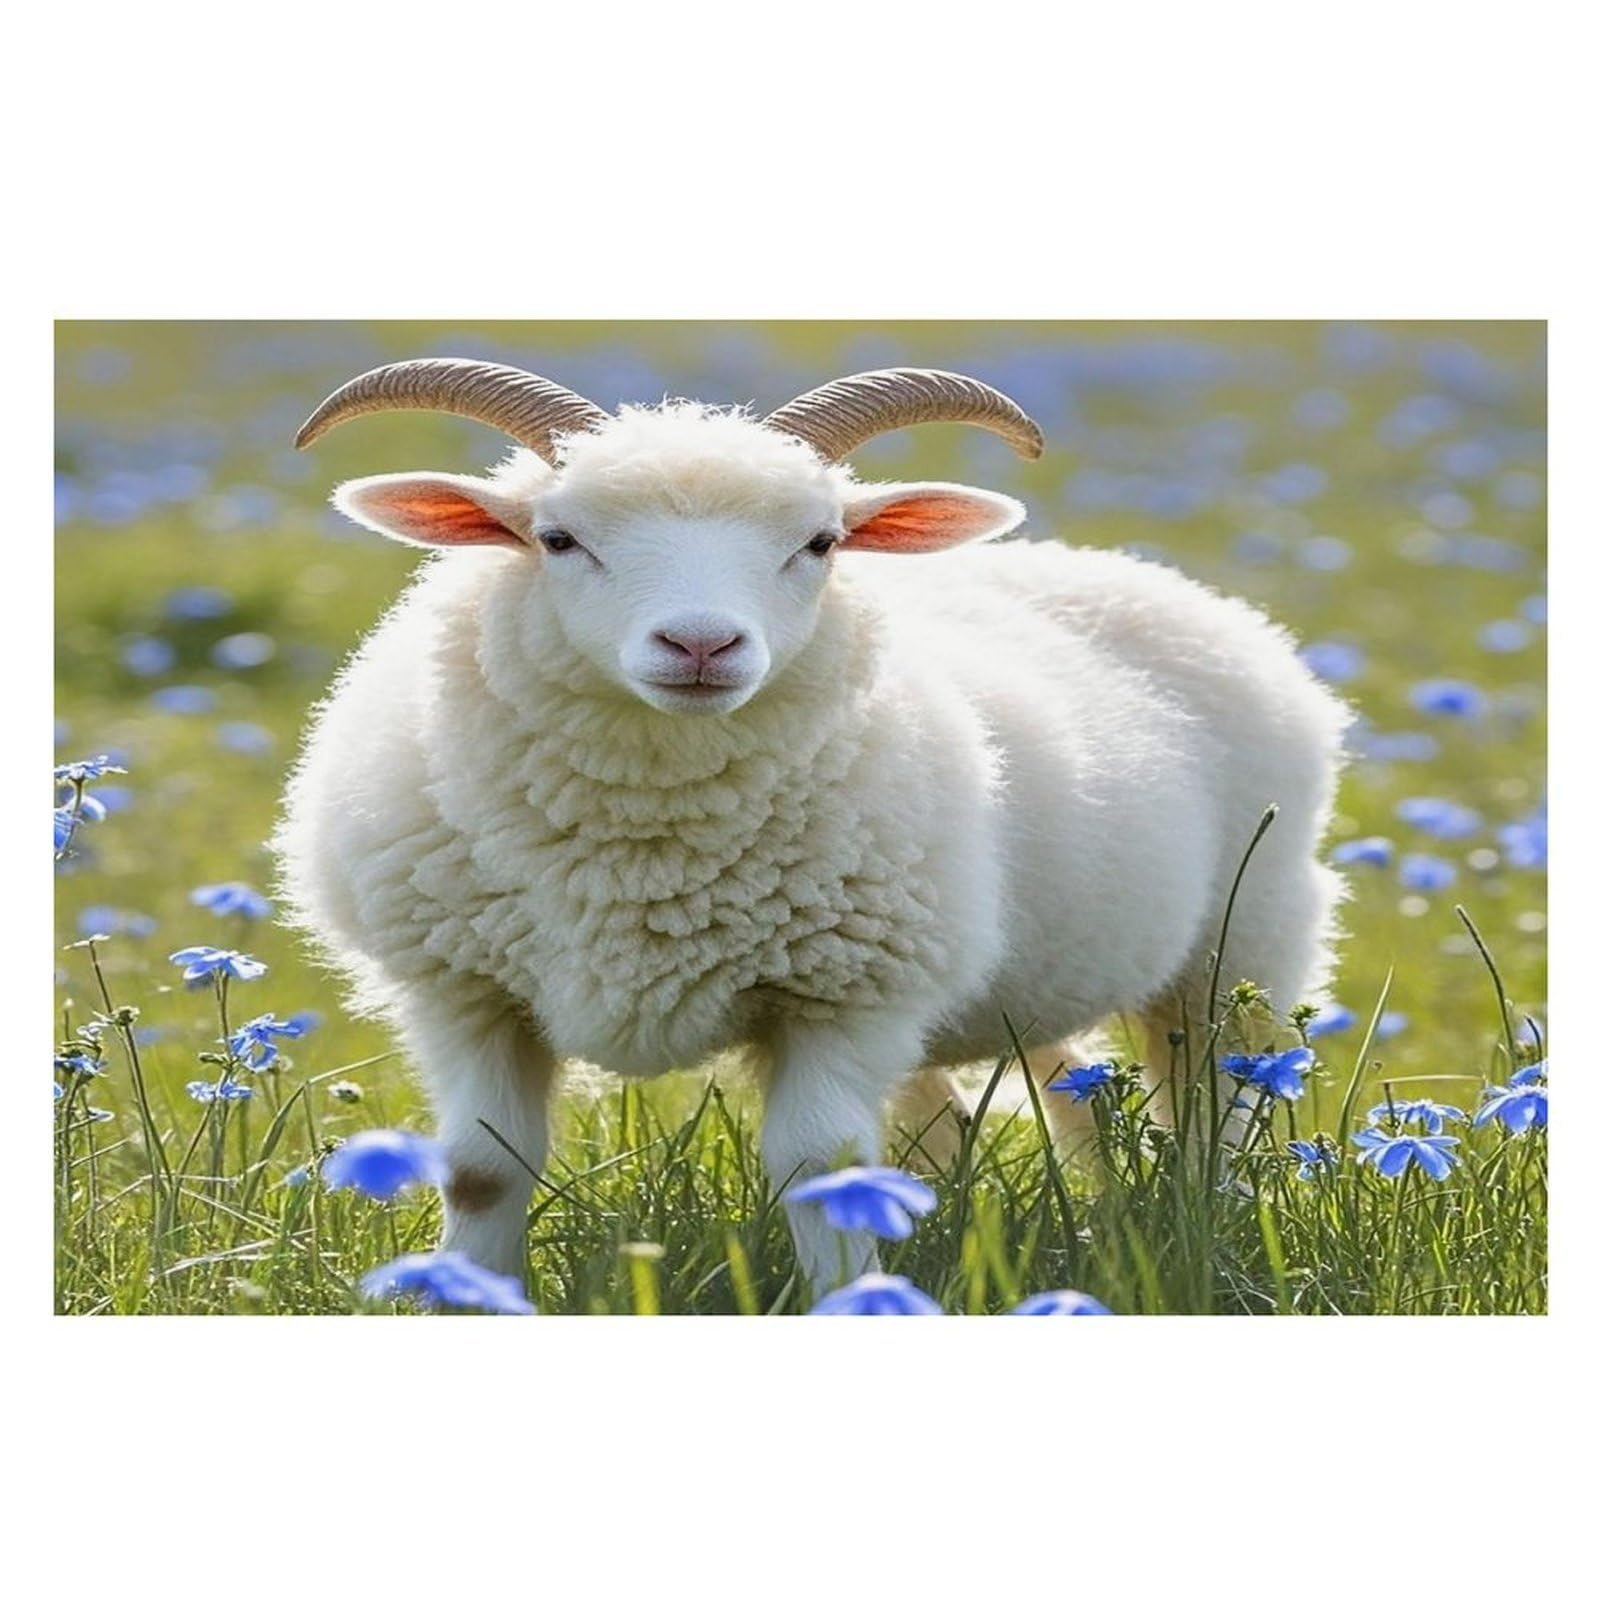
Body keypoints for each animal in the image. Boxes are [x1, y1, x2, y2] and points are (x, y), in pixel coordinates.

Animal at [273, 358, 1351, 1292]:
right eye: (558, 538)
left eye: (821, 543)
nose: (700, 644)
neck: (644, 855)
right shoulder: (463, 991)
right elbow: (482, 1168)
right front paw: (464, 1293)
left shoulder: (845, 996)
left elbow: (823, 1173)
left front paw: (849, 1296)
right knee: (1041, 1102)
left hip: (1246, 940)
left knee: (1214, 1109)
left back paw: (1200, 1224)